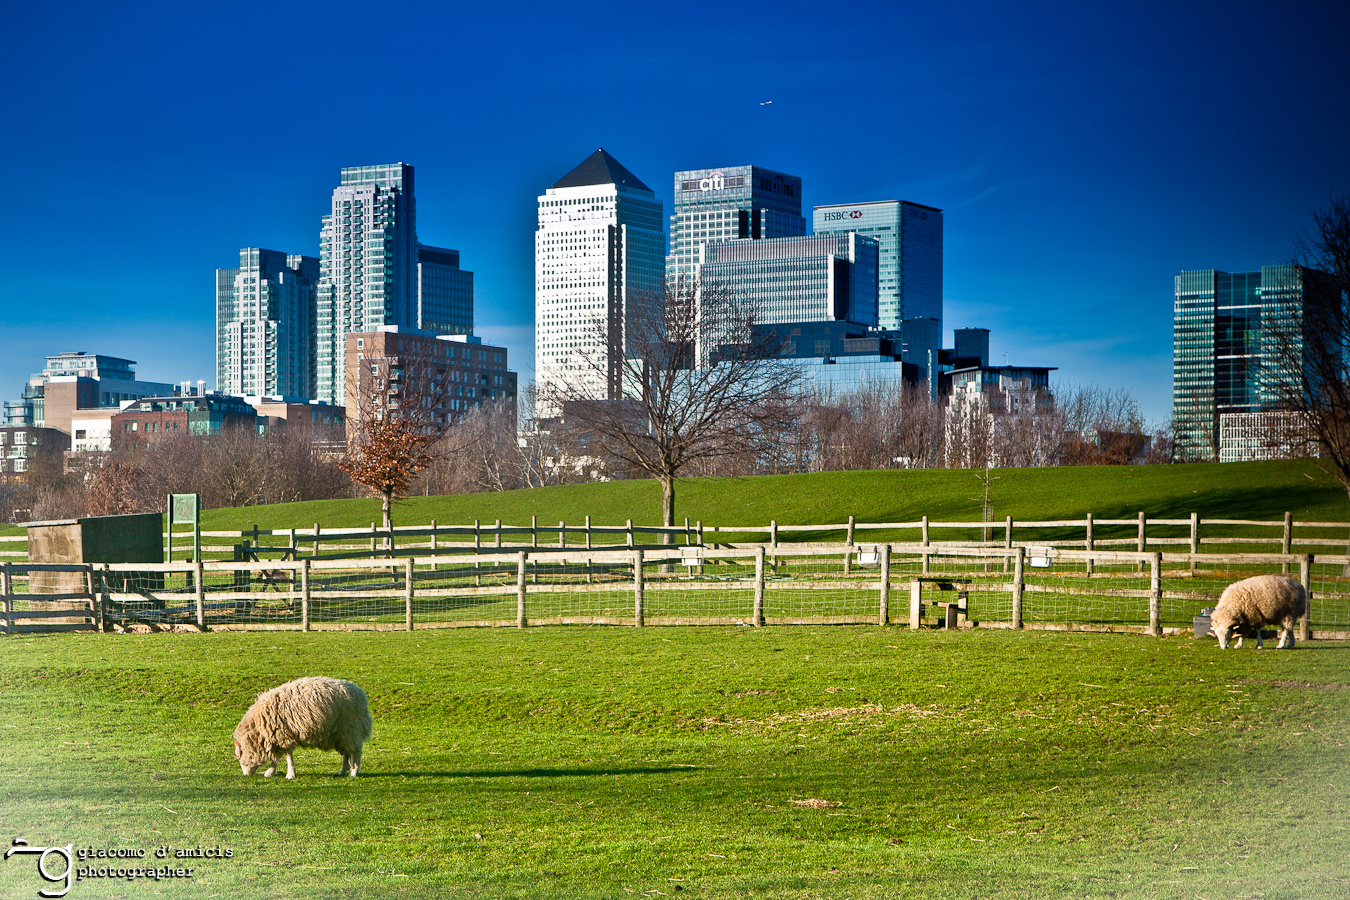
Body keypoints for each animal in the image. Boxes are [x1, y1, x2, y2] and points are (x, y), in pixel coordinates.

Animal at [232, 680, 369, 777]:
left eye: (241, 758)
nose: (246, 775)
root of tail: (361, 695)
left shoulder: (283, 735)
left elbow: (288, 756)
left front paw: (290, 774)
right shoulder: (277, 737)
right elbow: (277, 758)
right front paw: (270, 772)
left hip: (351, 728)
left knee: (357, 752)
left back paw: (353, 773)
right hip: (342, 734)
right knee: (347, 752)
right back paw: (343, 771)